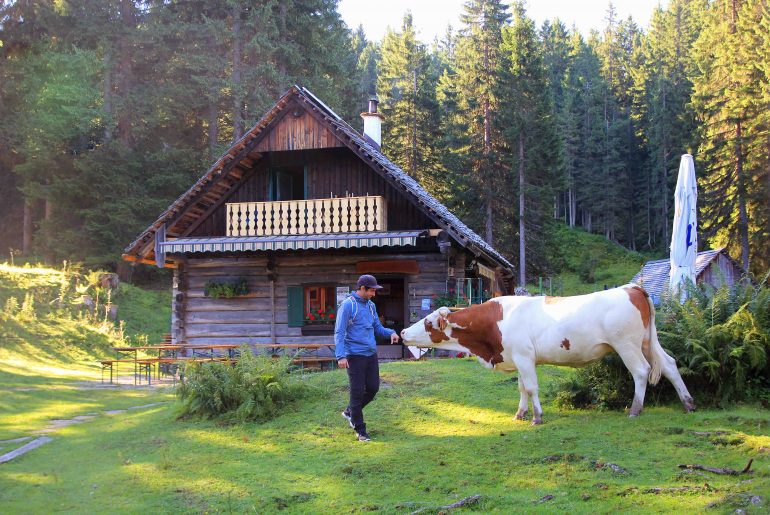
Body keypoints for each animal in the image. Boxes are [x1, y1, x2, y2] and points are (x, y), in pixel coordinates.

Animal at [400, 284, 692, 426]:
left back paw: (635, 409)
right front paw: (519, 414)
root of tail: (630, 287)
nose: (402, 331)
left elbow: (531, 387)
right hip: (646, 342)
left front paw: (537, 417)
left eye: (428, 322)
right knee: (669, 364)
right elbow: (521, 388)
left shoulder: (524, 357)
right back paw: (688, 403)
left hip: (627, 345)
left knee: (641, 371)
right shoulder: (519, 358)